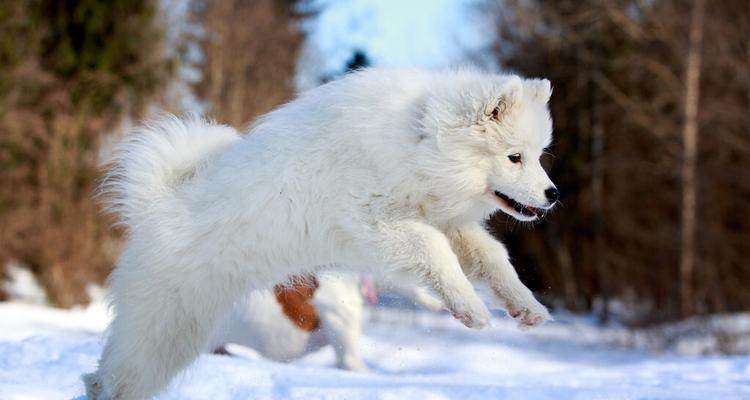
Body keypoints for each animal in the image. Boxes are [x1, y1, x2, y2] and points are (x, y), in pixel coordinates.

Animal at [85, 67, 560, 398]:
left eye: (538, 155)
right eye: (514, 157)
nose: (553, 194)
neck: (419, 142)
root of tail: (153, 208)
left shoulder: (443, 220)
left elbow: (491, 257)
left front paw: (526, 307)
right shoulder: (378, 224)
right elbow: (436, 253)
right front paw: (471, 309)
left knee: (102, 379)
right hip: (161, 333)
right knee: (112, 380)